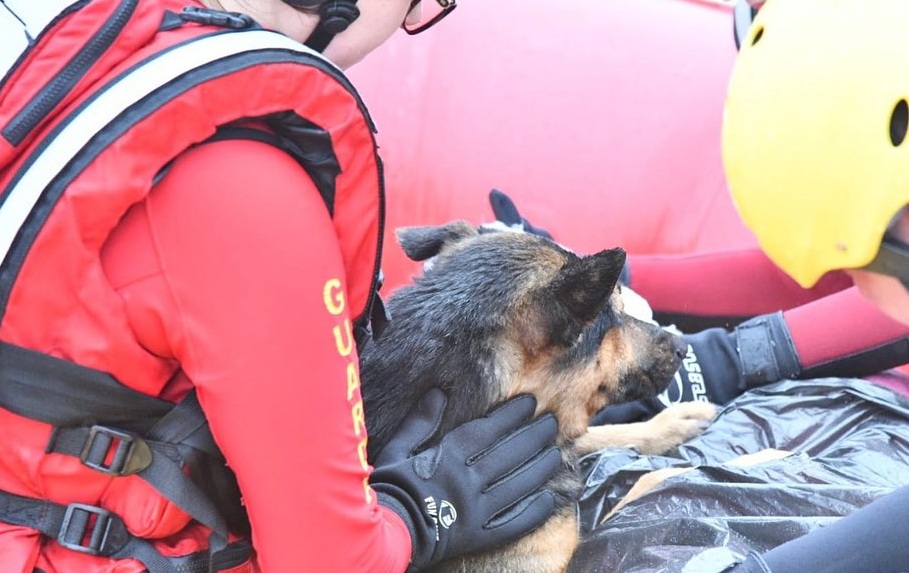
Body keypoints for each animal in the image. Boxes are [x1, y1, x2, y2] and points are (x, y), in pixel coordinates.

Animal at [358, 221, 712, 568]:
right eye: (616, 316)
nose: (683, 346)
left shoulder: (545, 438)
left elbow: (603, 433)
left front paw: (670, 423)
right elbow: (630, 498)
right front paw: (683, 475)